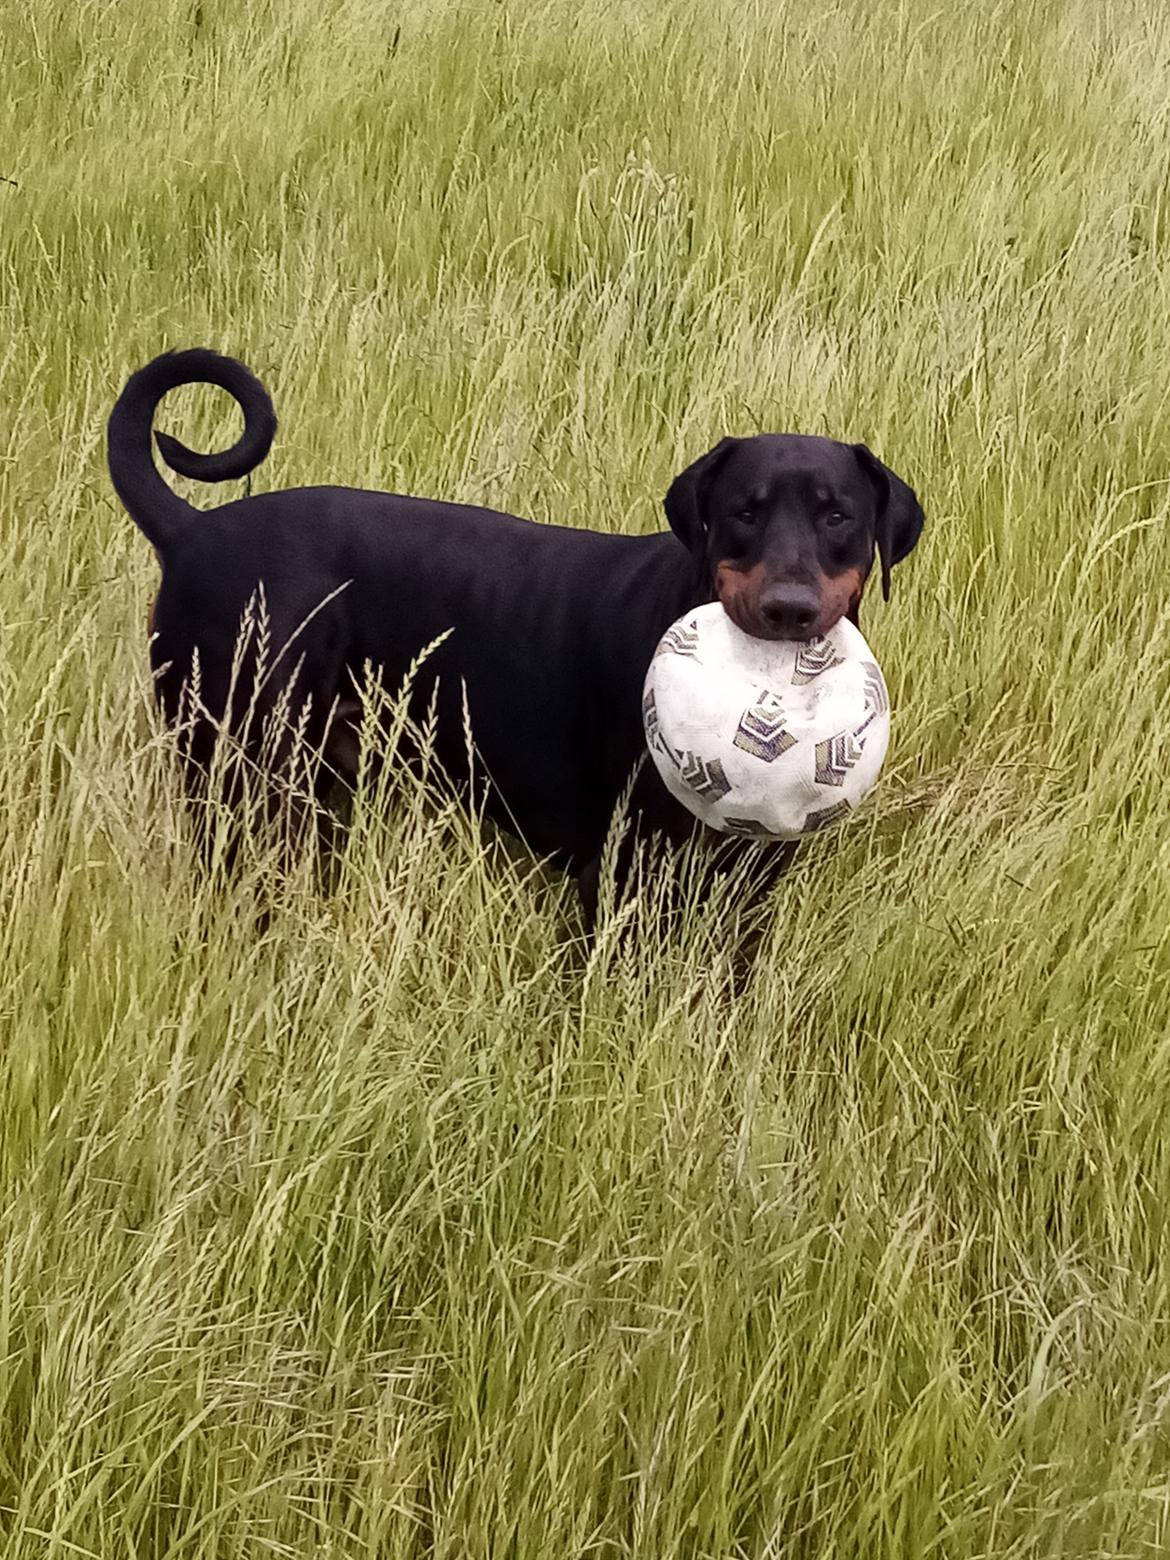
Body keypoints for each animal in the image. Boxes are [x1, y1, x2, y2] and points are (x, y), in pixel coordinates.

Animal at [107, 347, 923, 917]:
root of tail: (189, 531)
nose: (789, 608)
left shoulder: (749, 879)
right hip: (233, 771)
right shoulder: (614, 869)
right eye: (744, 512)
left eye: (838, 516)